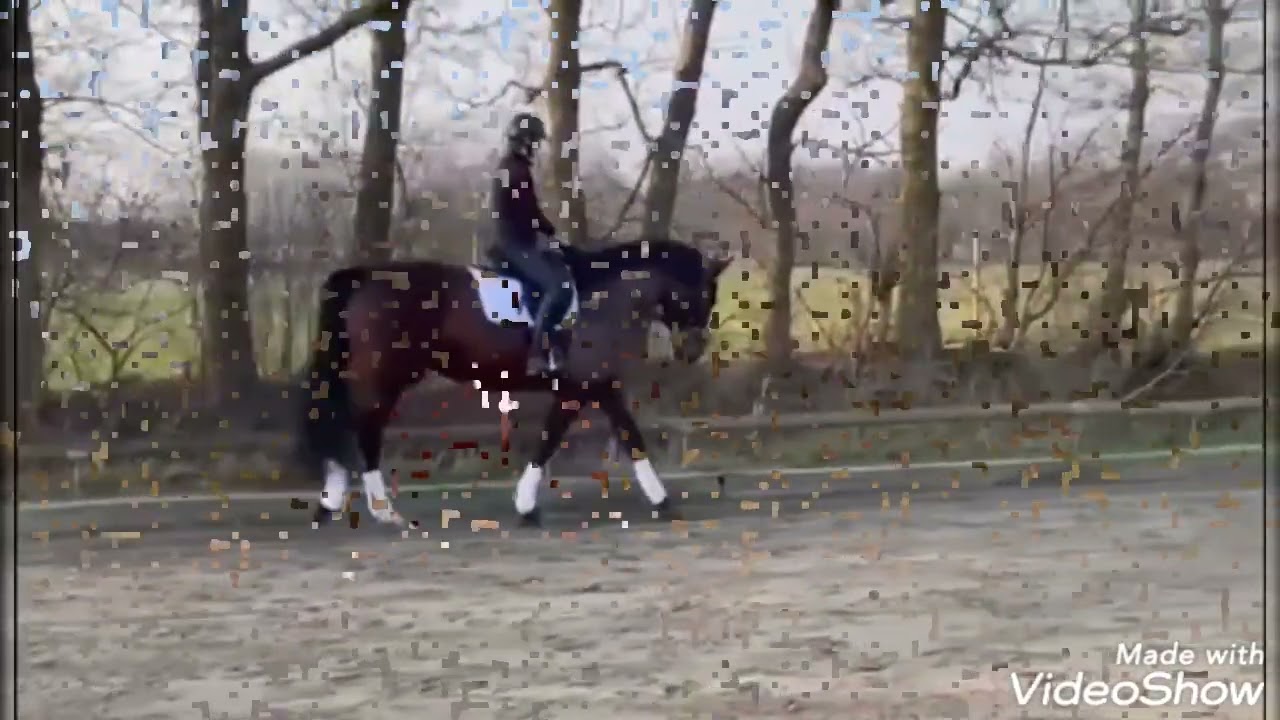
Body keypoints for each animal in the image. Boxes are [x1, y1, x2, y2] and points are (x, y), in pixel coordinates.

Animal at [295, 237, 732, 528]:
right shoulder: (584, 386)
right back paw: (382, 509)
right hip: (386, 375)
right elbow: (561, 439)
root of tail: (364, 277)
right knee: (363, 427)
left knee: (342, 421)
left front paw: (661, 501)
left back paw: (331, 501)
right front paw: (527, 505)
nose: (694, 349)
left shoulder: (596, 386)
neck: (607, 299)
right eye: (704, 293)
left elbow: (621, 435)